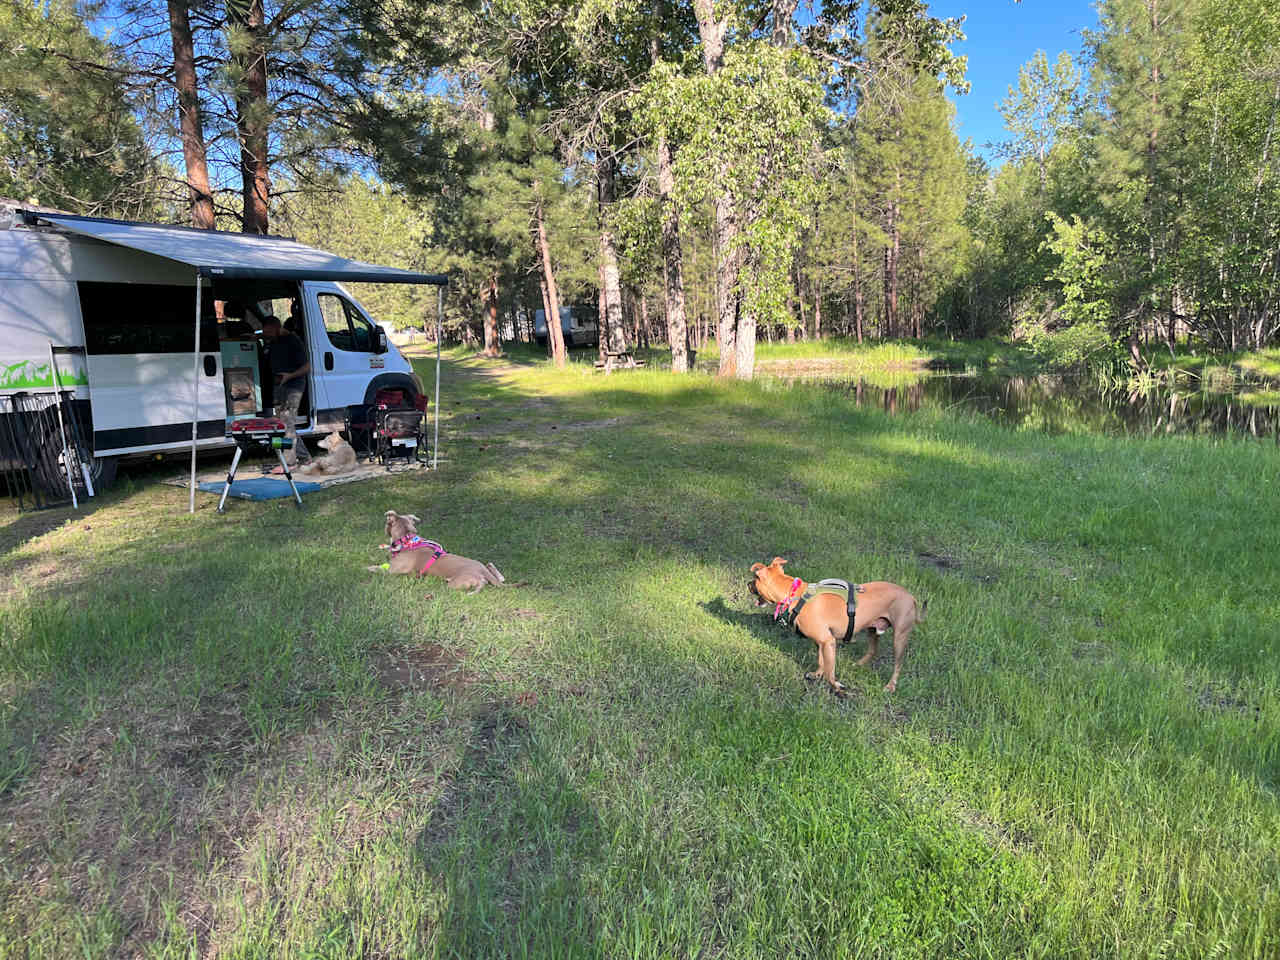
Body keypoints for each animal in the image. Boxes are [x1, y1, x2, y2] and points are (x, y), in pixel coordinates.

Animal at [371, 512, 504, 593]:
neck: (407, 540)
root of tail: (482, 570)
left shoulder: (392, 571)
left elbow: (376, 568)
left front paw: (368, 568)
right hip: (486, 568)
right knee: (497, 573)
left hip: (458, 582)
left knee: (482, 583)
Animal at [747, 555, 926, 701]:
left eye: (755, 579)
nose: (748, 583)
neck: (795, 594)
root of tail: (911, 597)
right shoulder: (821, 642)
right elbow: (821, 662)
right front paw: (817, 674)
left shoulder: (828, 641)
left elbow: (830, 671)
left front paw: (836, 688)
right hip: (873, 630)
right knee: (873, 650)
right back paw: (858, 665)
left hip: (899, 637)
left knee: (898, 665)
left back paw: (890, 686)